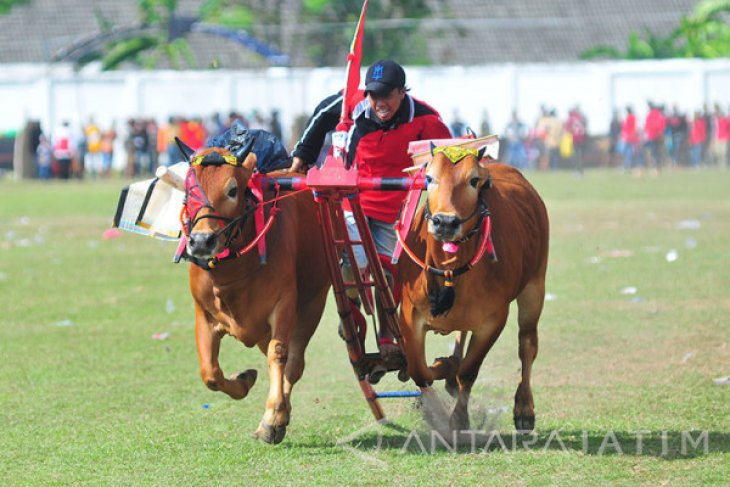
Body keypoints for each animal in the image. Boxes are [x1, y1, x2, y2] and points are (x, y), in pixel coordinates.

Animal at [182, 144, 330, 442]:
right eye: (189, 189)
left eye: (232, 189)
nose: (201, 241)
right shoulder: (204, 314)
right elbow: (210, 373)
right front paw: (244, 379)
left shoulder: (284, 304)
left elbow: (279, 354)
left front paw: (273, 416)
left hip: (314, 301)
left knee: (294, 363)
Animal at [398, 144, 544, 430]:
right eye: (429, 178)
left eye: (474, 180)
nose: (445, 222)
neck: (450, 268)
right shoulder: (409, 314)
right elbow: (419, 371)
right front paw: (442, 372)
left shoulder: (494, 320)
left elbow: (469, 371)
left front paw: (459, 418)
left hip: (535, 287)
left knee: (527, 344)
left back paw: (524, 408)